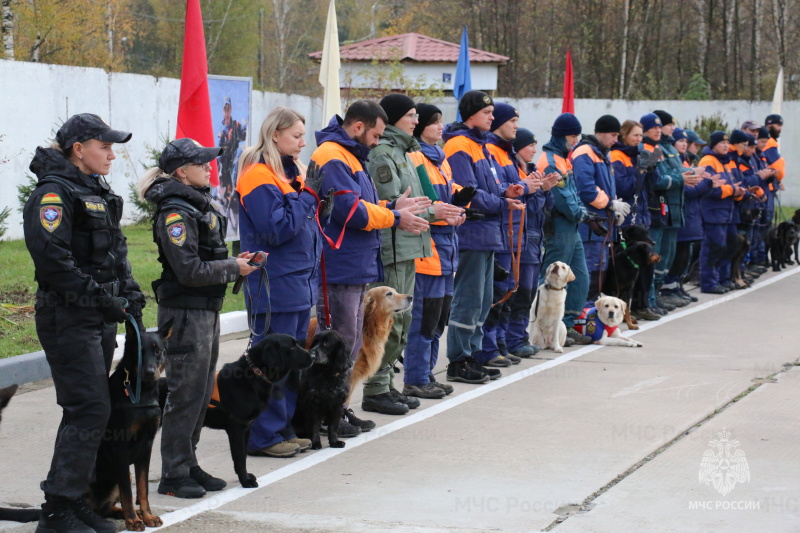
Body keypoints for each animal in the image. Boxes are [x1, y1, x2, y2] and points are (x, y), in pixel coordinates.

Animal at [88, 318, 173, 528]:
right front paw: (133, 520)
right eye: (139, 350)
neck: (141, 391)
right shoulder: (121, 449)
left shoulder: (146, 447)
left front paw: (147, 515)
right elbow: (127, 491)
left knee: (105, 508)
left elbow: (143, 489)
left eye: (157, 351)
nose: (149, 372)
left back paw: (120, 512)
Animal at [166, 334, 316, 488]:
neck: (253, 375)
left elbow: (243, 455)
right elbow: (239, 457)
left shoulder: (246, 427)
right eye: (291, 347)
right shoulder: (237, 427)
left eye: (297, 343)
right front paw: (245, 481)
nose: (313, 356)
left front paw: (245, 476)